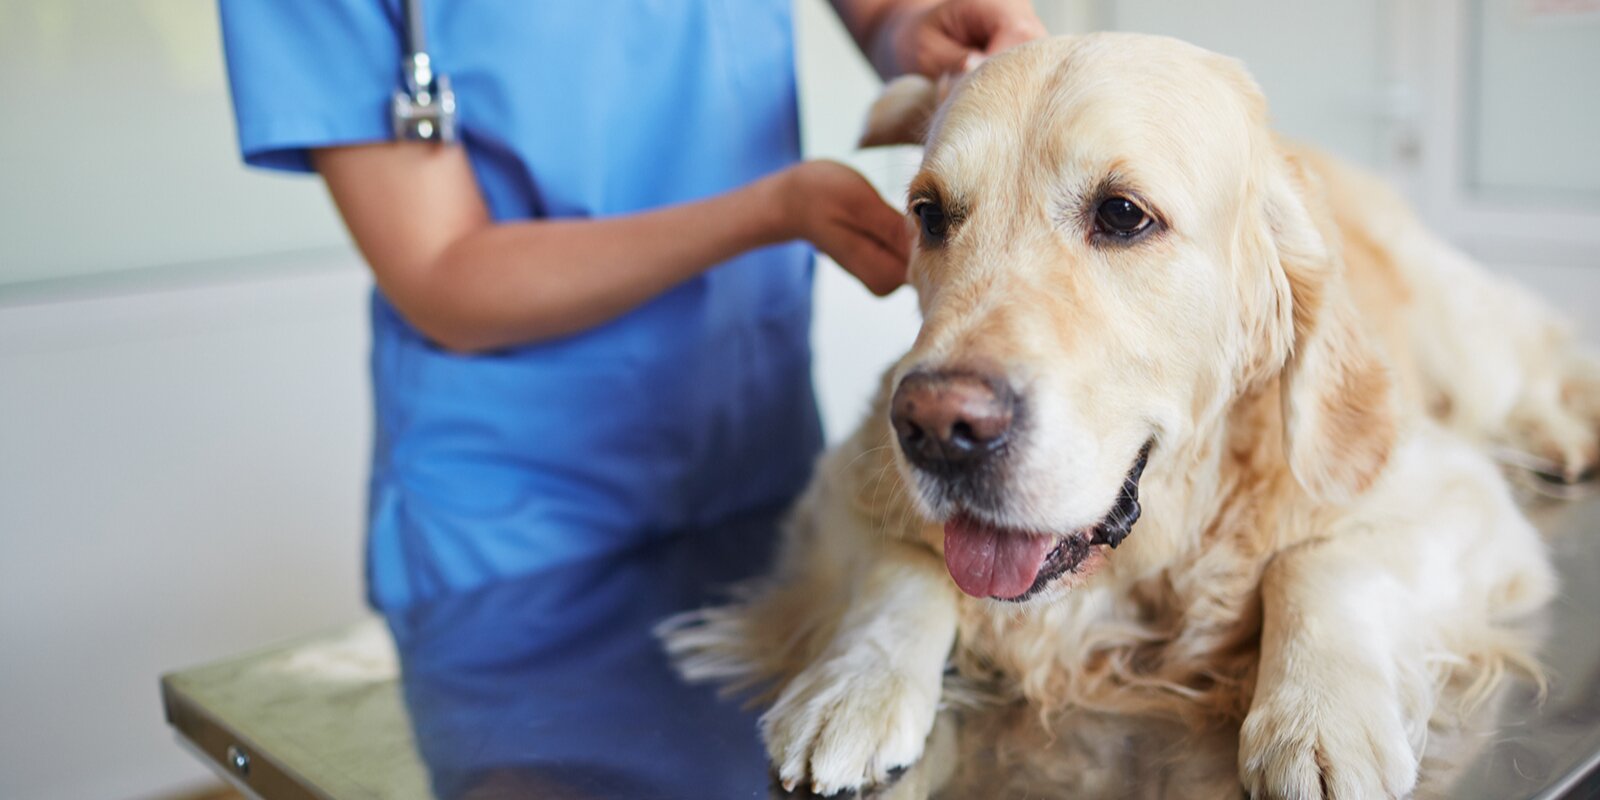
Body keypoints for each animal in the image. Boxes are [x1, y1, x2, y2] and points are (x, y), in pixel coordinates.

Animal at [659, 32, 1587, 800]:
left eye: (1123, 214)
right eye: (927, 214)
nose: (936, 430)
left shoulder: (1451, 493)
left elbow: (1320, 565)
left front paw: (1318, 721)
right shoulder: (840, 486)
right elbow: (903, 572)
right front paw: (852, 687)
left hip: (1468, 345)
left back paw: (1569, 433)